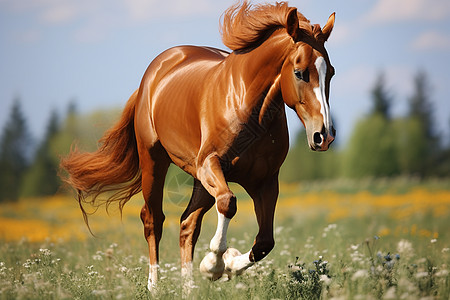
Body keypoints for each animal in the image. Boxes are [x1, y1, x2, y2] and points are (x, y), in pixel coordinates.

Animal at [59, 1, 336, 292]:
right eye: (299, 72)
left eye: (331, 72)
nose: (324, 136)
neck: (250, 107)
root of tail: (151, 76)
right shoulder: (210, 164)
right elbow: (228, 203)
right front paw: (213, 265)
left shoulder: (266, 181)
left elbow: (264, 243)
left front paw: (227, 265)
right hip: (154, 161)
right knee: (153, 219)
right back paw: (154, 286)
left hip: (199, 181)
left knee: (187, 224)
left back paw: (188, 288)